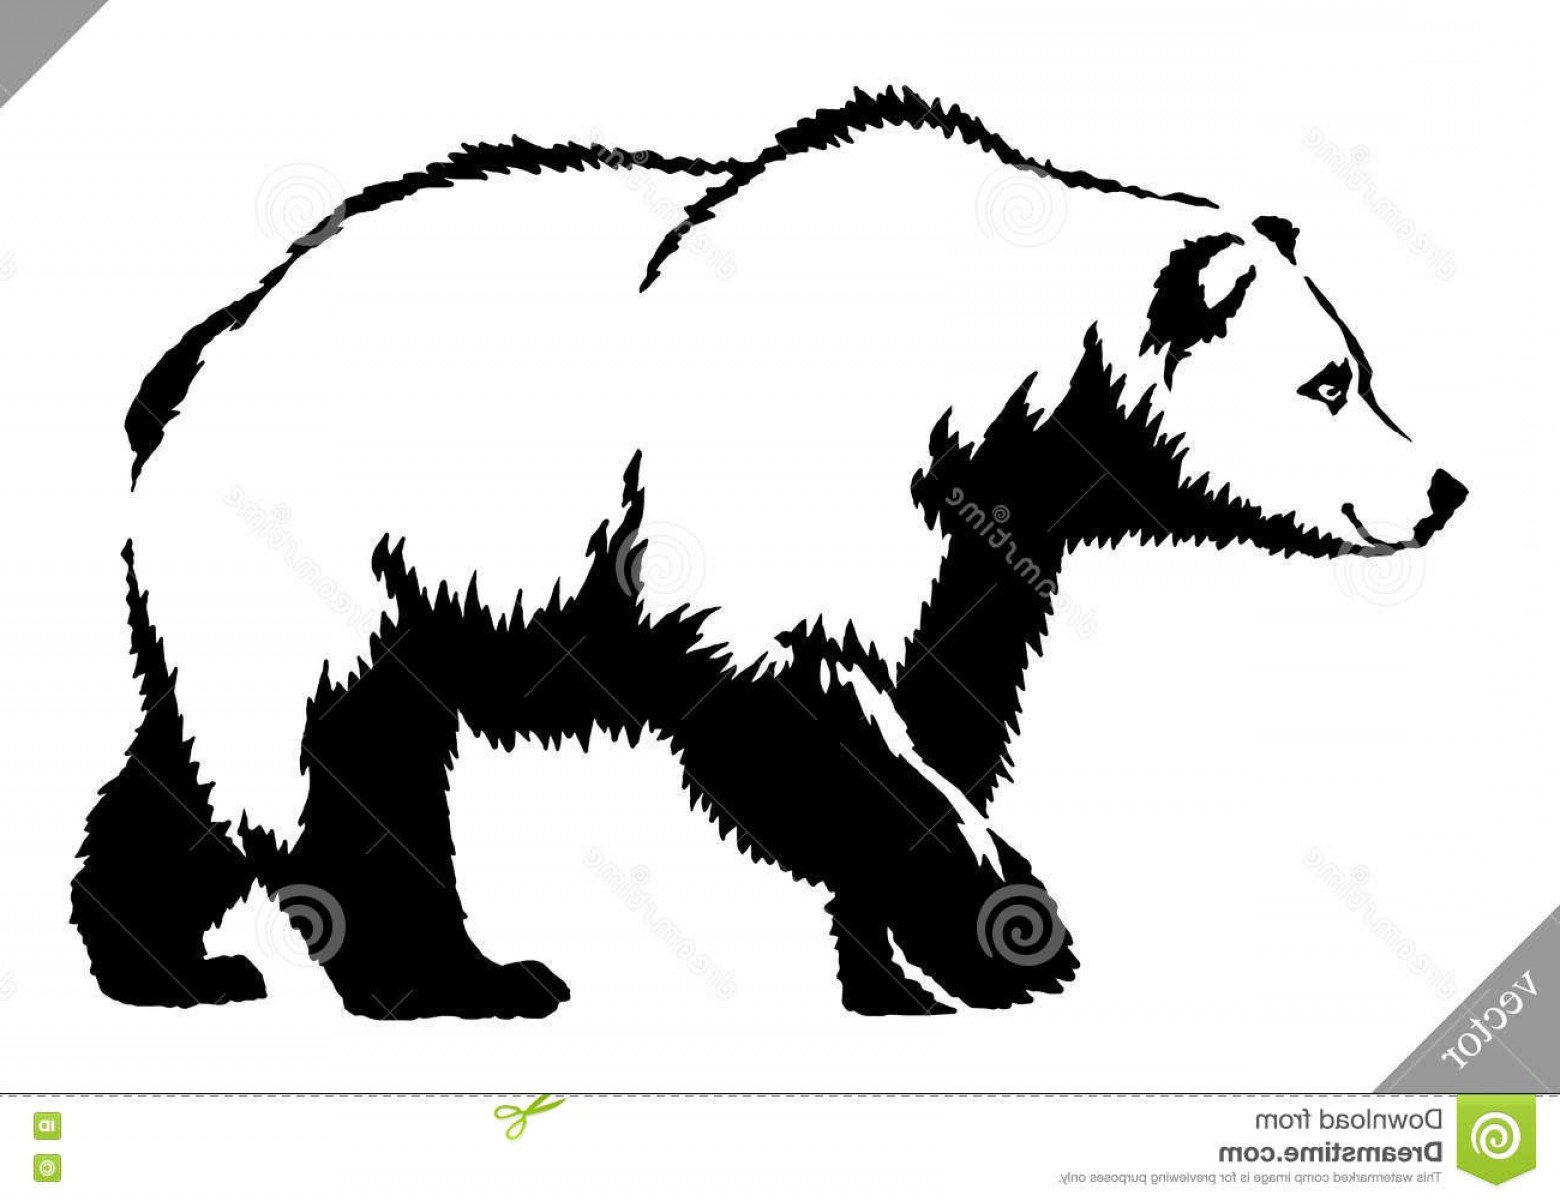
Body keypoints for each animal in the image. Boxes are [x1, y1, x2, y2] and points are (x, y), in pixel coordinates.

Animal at [73, 85, 1467, 1018]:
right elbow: (795, 710)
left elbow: (944, 704)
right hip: (333, 532)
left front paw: (901, 969)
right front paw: (1011, 934)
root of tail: (195, 352)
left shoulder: (979, 542)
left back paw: (167, 959)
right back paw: (457, 977)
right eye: (1331, 384)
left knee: (208, 765)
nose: (1441, 491)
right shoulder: (770, 475)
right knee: (335, 759)